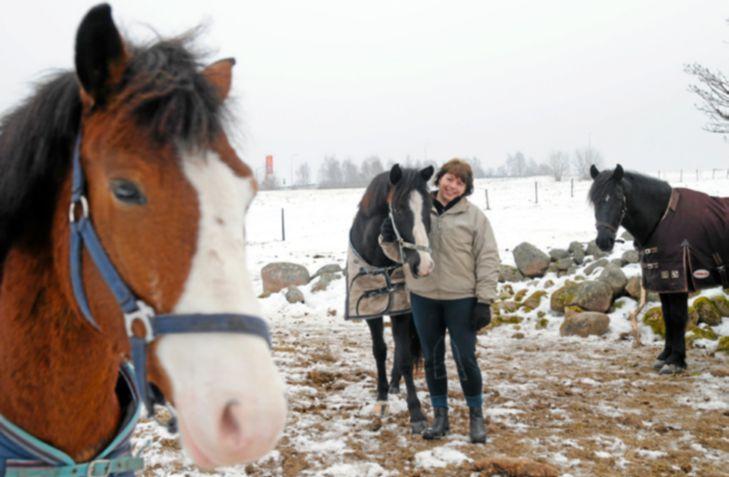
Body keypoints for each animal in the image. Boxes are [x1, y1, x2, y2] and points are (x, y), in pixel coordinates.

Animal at [350, 163, 436, 432]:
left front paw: (416, 412)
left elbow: (406, 355)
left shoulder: (401, 311)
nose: (425, 265)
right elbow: (380, 350)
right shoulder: (371, 310)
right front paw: (382, 397)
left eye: (429, 207)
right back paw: (393, 386)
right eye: (397, 208)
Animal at [588, 164, 724, 372]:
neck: (662, 219)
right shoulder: (663, 282)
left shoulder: (676, 282)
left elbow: (677, 317)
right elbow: (667, 317)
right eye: (594, 200)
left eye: (618, 197)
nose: (603, 241)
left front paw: (676, 361)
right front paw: (665, 356)